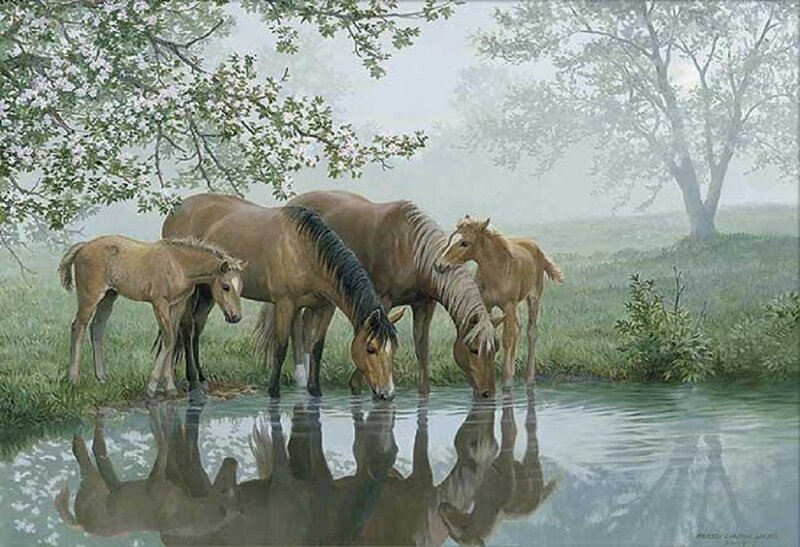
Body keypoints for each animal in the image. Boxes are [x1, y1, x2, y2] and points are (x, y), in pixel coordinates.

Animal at [58, 235, 245, 398]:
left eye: (241, 288)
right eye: (226, 286)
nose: (236, 317)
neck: (178, 264)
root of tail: (83, 247)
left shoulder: (177, 305)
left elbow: (172, 339)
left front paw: (170, 387)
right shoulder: (159, 303)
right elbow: (168, 339)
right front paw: (152, 387)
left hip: (108, 297)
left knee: (96, 328)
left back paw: (102, 377)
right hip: (90, 297)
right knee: (78, 327)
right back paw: (73, 379)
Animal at [161, 193, 404, 400]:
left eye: (393, 349)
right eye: (371, 348)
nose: (388, 393)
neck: (305, 251)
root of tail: (175, 211)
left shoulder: (325, 307)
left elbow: (316, 347)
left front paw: (315, 390)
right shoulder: (285, 304)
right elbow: (281, 347)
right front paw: (273, 391)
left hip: (209, 292)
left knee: (197, 328)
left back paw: (202, 379)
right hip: (190, 292)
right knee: (186, 328)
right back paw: (193, 382)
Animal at [283, 190, 500, 398]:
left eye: (495, 349)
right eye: (474, 349)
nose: (487, 392)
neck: (411, 250)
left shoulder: (424, 305)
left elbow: (421, 350)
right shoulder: (382, 301)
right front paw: (360, 386)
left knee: (307, 324)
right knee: (296, 324)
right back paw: (301, 376)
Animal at [435, 216, 564, 386]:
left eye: (465, 243)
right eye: (451, 239)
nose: (439, 265)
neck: (496, 270)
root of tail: (535, 247)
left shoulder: (508, 305)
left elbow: (506, 339)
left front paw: (506, 381)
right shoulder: (486, 305)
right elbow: (487, 334)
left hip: (533, 299)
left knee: (531, 332)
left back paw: (529, 378)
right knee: (517, 328)